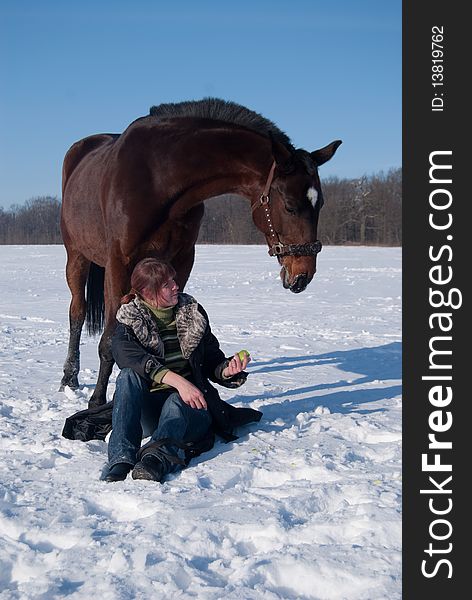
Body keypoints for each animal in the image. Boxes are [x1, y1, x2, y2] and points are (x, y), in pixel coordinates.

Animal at [60, 99, 342, 408]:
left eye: (320, 204)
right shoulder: (118, 263)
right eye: (290, 206)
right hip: (76, 256)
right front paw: (97, 401)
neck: (158, 177)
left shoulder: (182, 260)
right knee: (77, 312)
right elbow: (110, 340)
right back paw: (69, 377)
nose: (303, 275)